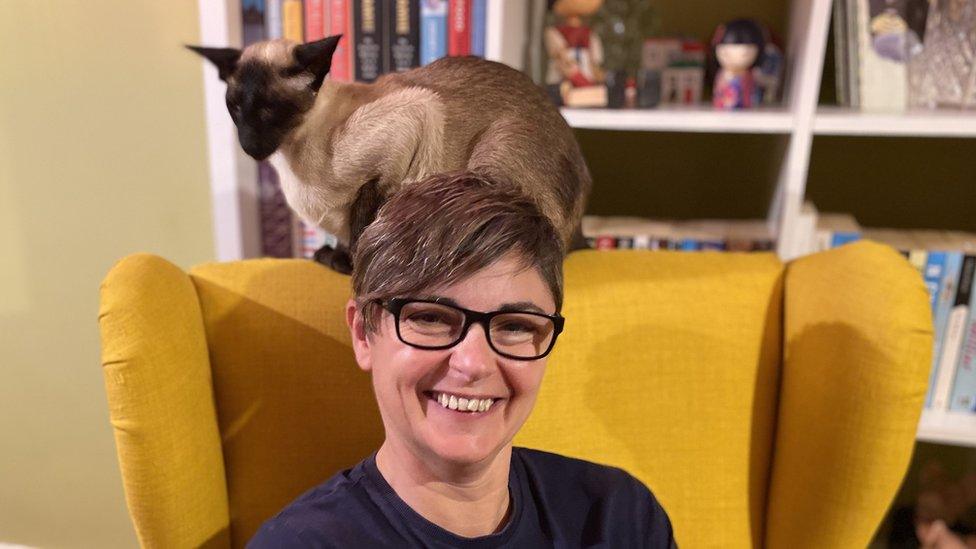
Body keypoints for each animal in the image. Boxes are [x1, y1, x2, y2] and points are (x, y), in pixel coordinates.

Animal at [188, 35, 592, 272]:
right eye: (235, 108)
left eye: (270, 111)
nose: (249, 145)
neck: (294, 159)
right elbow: (346, 233)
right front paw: (332, 256)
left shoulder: (412, 124)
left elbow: (366, 220)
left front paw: (352, 264)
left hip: (490, 158)